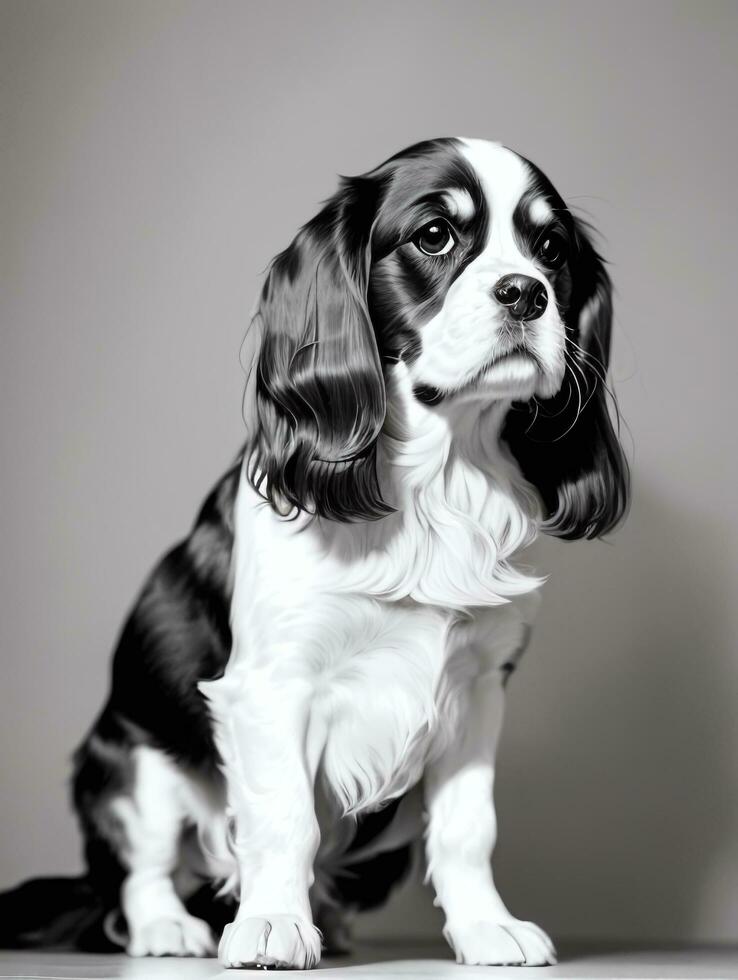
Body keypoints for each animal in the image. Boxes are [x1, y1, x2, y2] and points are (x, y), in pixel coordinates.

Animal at [0, 136, 628, 964]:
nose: (526, 293)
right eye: (435, 236)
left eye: (551, 249)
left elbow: (467, 828)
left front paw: (485, 925)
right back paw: (171, 927)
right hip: (133, 765)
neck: (438, 481)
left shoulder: (477, 690)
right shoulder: (271, 684)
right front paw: (272, 922)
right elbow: (283, 817)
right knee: (142, 871)